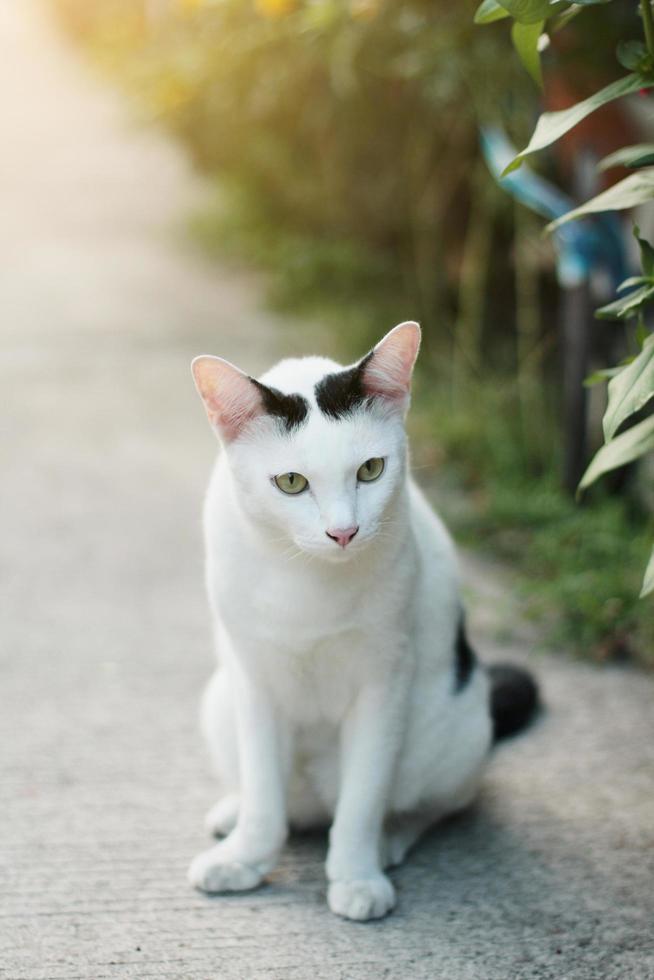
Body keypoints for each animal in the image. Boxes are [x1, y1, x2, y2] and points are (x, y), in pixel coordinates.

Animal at [187, 322, 536, 920]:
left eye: (371, 471)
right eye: (290, 482)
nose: (343, 532)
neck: (303, 577)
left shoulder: (383, 682)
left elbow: (364, 797)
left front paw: (355, 874)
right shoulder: (254, 679)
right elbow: (264, 793)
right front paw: (248, 857)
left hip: (459, 732)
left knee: (431, 805)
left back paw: (390, 840)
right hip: (219, 699)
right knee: (272, 795)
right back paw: (234, 815)